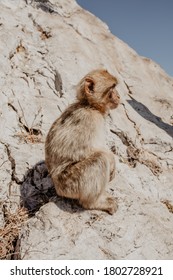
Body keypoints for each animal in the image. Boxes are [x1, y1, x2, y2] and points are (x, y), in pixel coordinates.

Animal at [45, 69, 120, 213]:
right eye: (112, 88)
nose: (118, 96)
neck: (90, 105)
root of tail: (57, 186)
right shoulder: (89, 119)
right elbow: (80, 151)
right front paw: (112, 160)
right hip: (71, 183)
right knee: (100, 159)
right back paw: (94, 203)